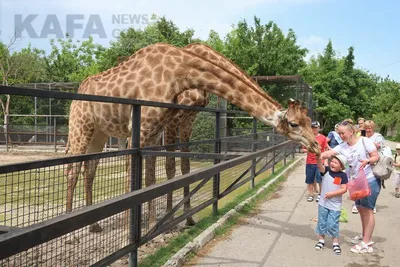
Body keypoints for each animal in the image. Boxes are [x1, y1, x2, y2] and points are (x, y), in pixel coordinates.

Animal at [65, 43, 320, 233]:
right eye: (295, 124)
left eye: (310, 121)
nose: (316, 146)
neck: (181, 72)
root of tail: (77, 92)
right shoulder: (148, 128)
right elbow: (150, 174)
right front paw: (144, 228)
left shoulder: (166, 126)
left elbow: (161, 175)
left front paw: (166, 223)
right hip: (80, 126)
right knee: (72, 169)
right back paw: (72, 230)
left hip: (99, 133)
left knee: (89, 169)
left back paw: (95, 226)